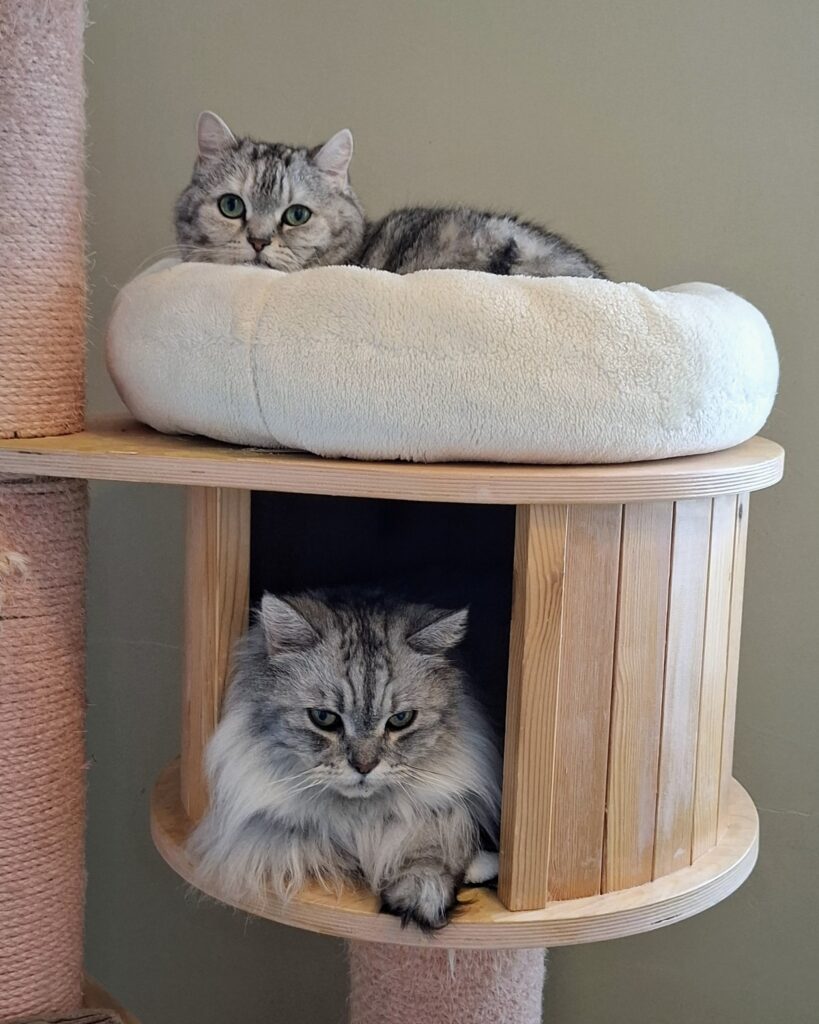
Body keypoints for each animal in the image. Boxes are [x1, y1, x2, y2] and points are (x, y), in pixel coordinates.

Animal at [189, 589, 502, 931]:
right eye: (324, 718)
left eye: (400, 720)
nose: (364, 767)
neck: (359, 820)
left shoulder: (445, 807)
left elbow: (432, 836)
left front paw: (422, 894)